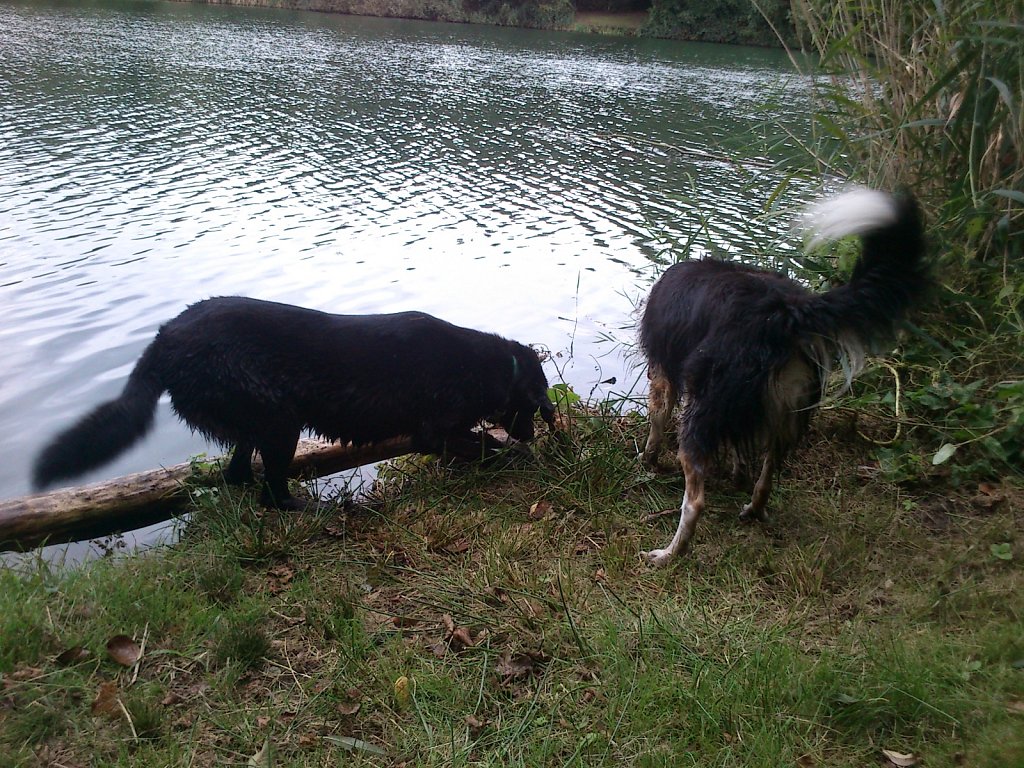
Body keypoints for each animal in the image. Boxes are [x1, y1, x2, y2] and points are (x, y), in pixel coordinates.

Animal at [32, 301, 557, 512]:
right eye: (533, 407)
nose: (533, 432)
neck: (488, 367)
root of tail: (164, 339)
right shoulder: (436, 430)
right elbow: (483, 443)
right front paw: (515, 453)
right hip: (281, 422)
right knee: (272, 494)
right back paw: (320, 510)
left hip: (256, 423)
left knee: (239, 475)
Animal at [638, 189, 929, 569]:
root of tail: (784, 313)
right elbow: (738, 448)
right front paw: (737, 473)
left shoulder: (661, 374)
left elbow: (657, 420)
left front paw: (648, 460)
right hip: (787, 406)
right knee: (768, 474)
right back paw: (753, 509)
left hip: (705, 408)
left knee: (695, 501)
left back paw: (669, 554)